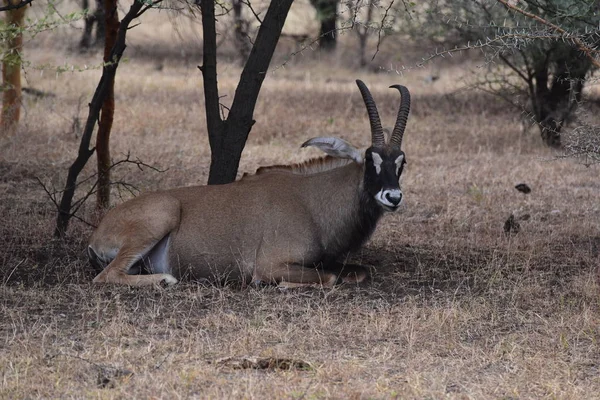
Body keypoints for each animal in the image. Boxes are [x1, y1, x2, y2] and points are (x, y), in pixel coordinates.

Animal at [86, 80, 410, 288]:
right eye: (370, 159)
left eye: (401, 162)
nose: (393, 197)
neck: (311, 202)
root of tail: (98, 232)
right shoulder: (271, 264)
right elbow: (329, 278)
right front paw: (281, 286)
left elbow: (360, 272)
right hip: (159, 218)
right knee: (106, 276)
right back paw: (165, 280)